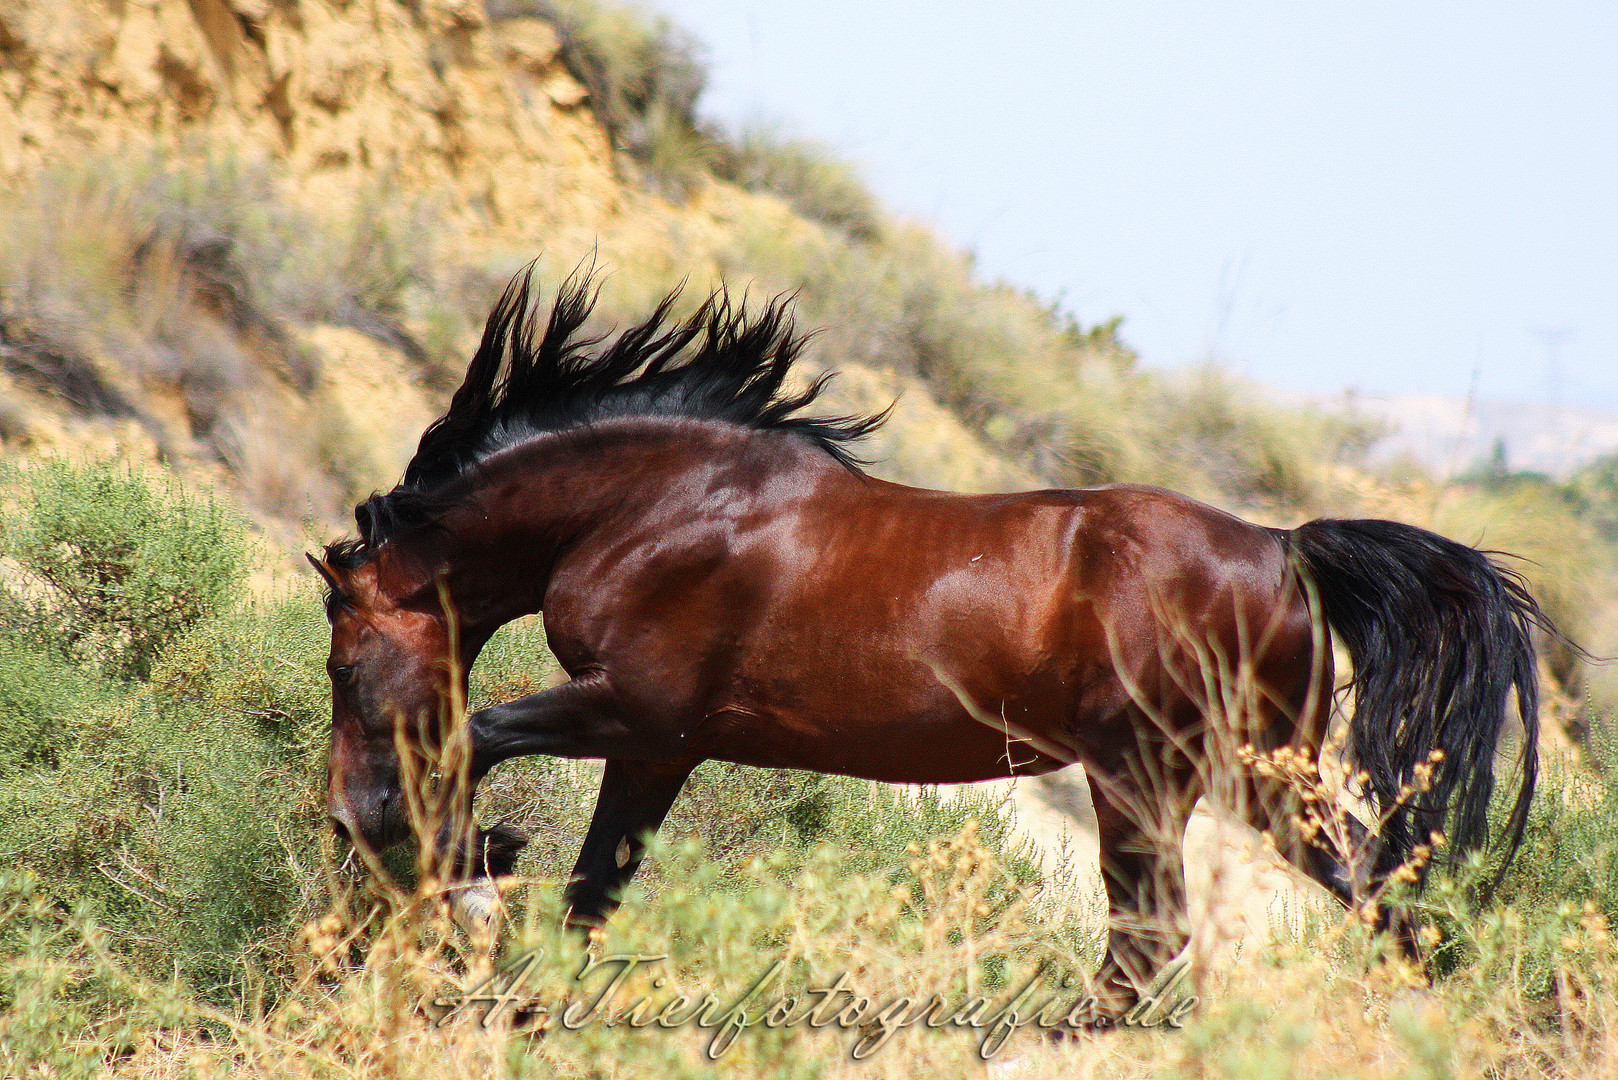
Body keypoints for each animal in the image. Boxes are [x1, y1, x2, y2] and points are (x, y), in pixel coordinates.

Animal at [312, 268, 1540, 1016]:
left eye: (340, 659)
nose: (344, 819)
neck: (656, 507)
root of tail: (1285, 549)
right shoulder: (659, 748)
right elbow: (590, 892)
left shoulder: (630, 707)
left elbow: (474, 736)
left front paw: (463, 869)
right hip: (1253, 780)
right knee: (1376, 894)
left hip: (1143, 779)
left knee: (1150, 944)